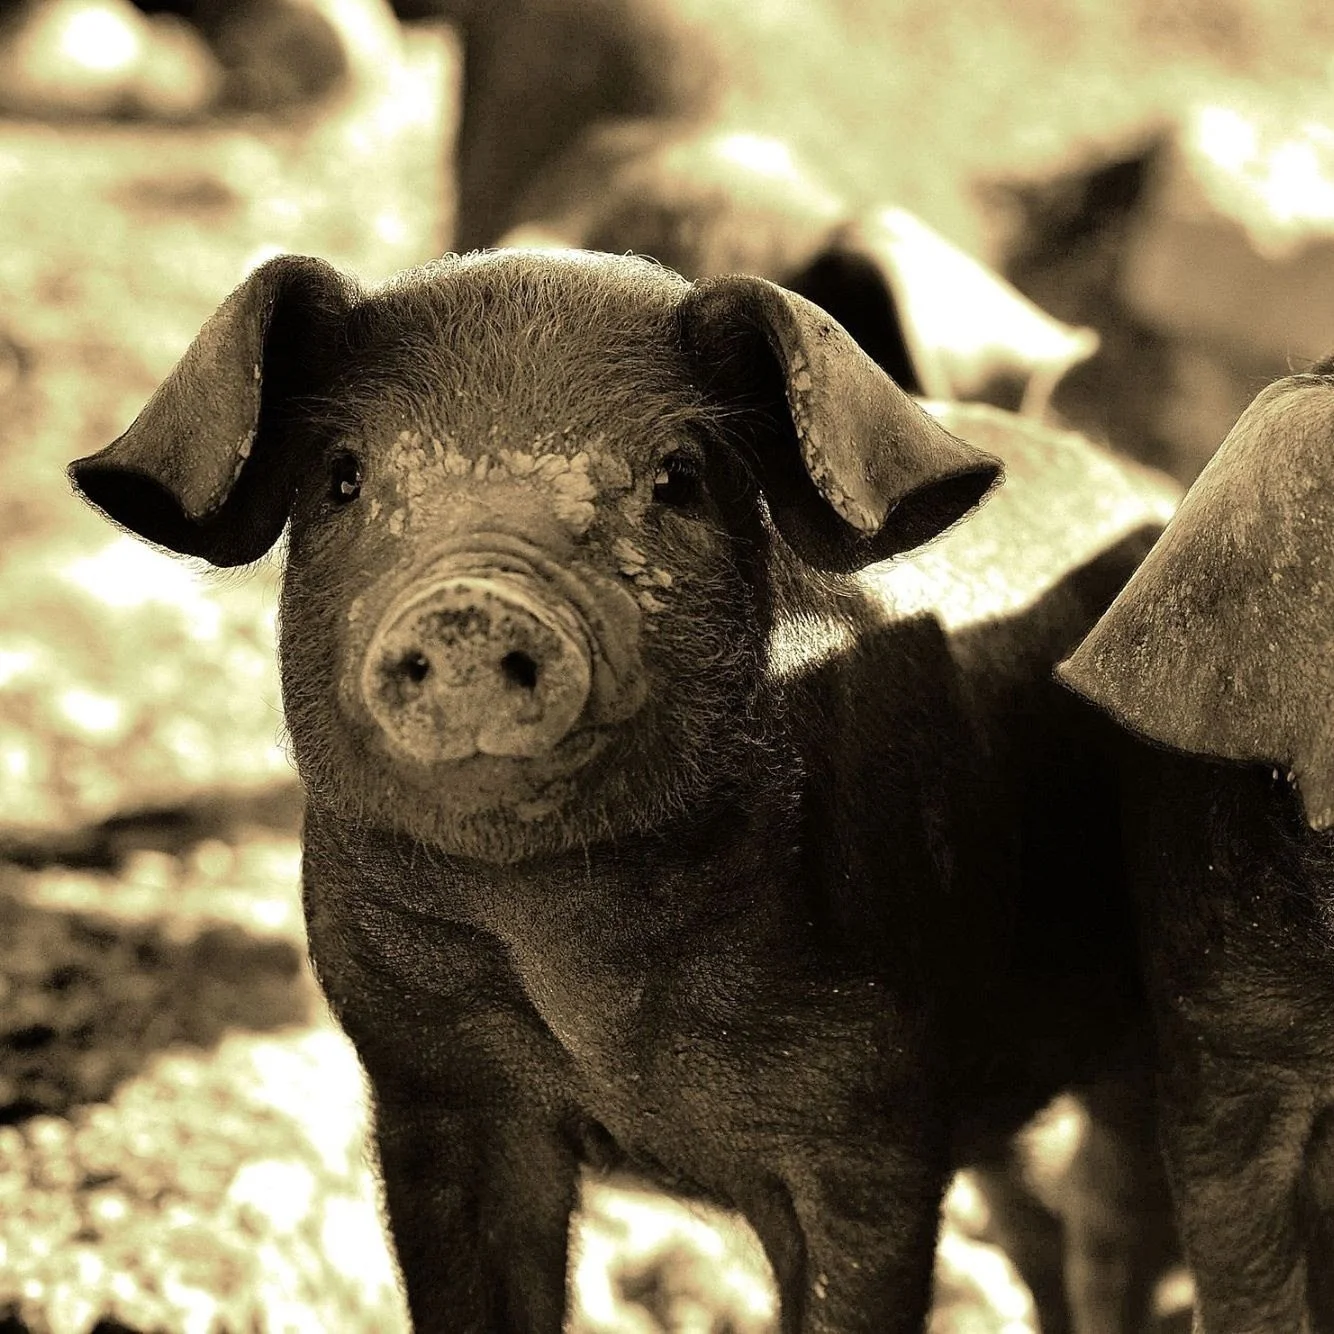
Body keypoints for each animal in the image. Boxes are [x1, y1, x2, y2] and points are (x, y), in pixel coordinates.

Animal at [69, 247, 1179, 1333]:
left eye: (676, 478)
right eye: (342, 476)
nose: (470, 602)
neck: (579, 979)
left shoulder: (874, 1120)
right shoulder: (424, 1079)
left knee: (1114, 1217)